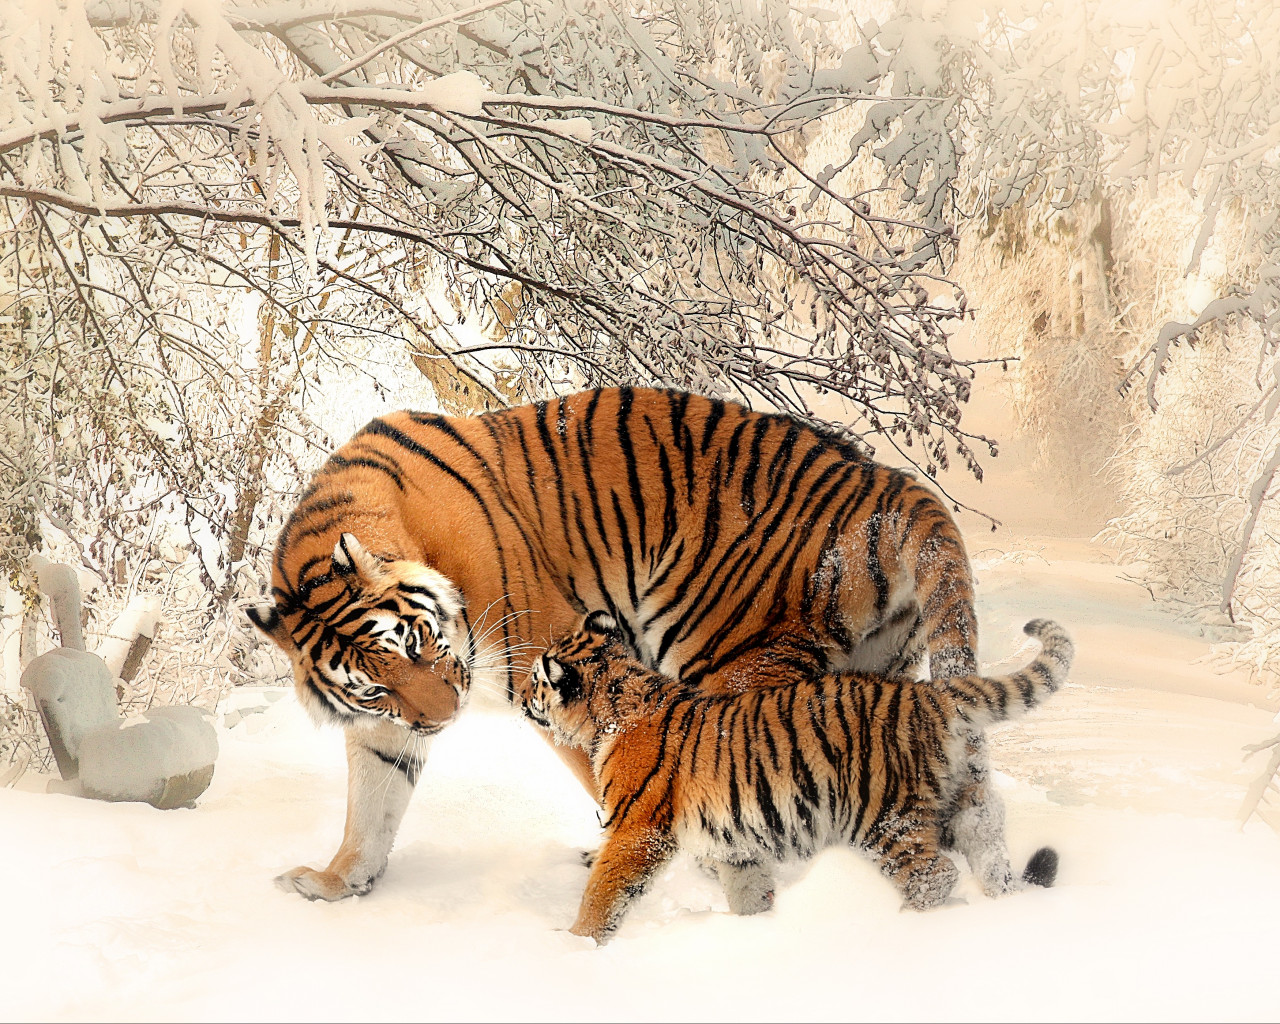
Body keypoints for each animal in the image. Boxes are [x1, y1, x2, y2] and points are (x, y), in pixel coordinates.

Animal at [247, 386, 1011, 905]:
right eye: (375, 685)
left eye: (418, 644)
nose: (443, 718)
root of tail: (887, 482)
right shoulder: (387, 725)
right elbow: (372, 803)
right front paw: (336, 881)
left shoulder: (550, 660)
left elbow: (614, 775)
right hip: (875, 676)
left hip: (733, 659)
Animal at [521, 611, 1072, 944]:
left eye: (535, 680)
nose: (521, 697)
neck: (614, 707)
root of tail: (928, 694)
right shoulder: (735, 844)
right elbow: (748, 891)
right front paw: (757, 931)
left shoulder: (636, 830)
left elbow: (603, 892)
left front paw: (575, 945)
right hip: (959, 805)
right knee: (988, 851)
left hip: (884, 817)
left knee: (934, 875)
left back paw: (903, 927)